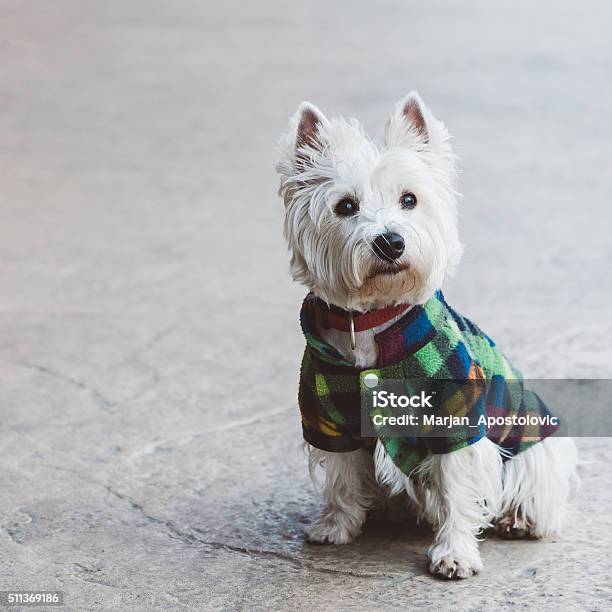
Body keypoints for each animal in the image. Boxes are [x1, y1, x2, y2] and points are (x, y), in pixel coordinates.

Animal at [278, 92, 580, 580]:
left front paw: (455, 553)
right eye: (345, 206)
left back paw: (519, 519)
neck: (372, 322)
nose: (390, 242)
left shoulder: (455, 420)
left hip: (535, 447)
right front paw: (335, 526)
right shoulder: (328, 420)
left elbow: (457, 489)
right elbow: (342, 476)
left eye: (409, 199)